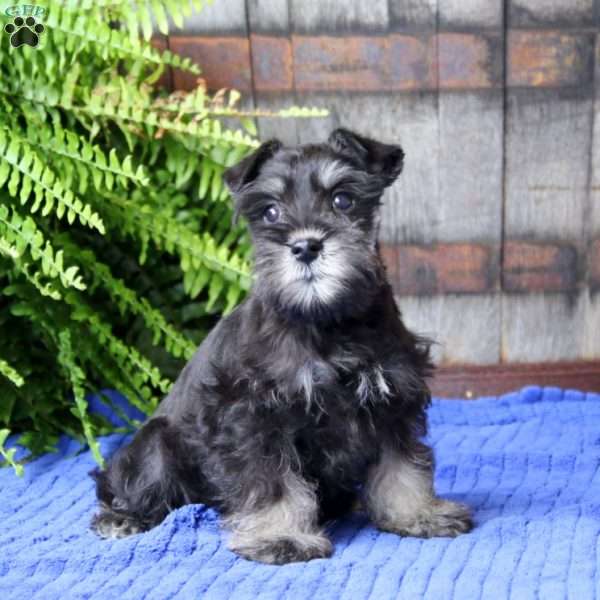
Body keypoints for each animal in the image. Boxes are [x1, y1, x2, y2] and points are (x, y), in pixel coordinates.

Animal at [90, 129, 474, 564]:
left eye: (342, 199)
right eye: (271, 211)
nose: (305, 246)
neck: (326, 321)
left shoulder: (393, 398)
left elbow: (403, 465)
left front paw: (418, 514)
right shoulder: (253, 416)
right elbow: (272, 482)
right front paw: (281, 537)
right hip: (156, 448)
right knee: (125, 488)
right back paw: (121, 520)